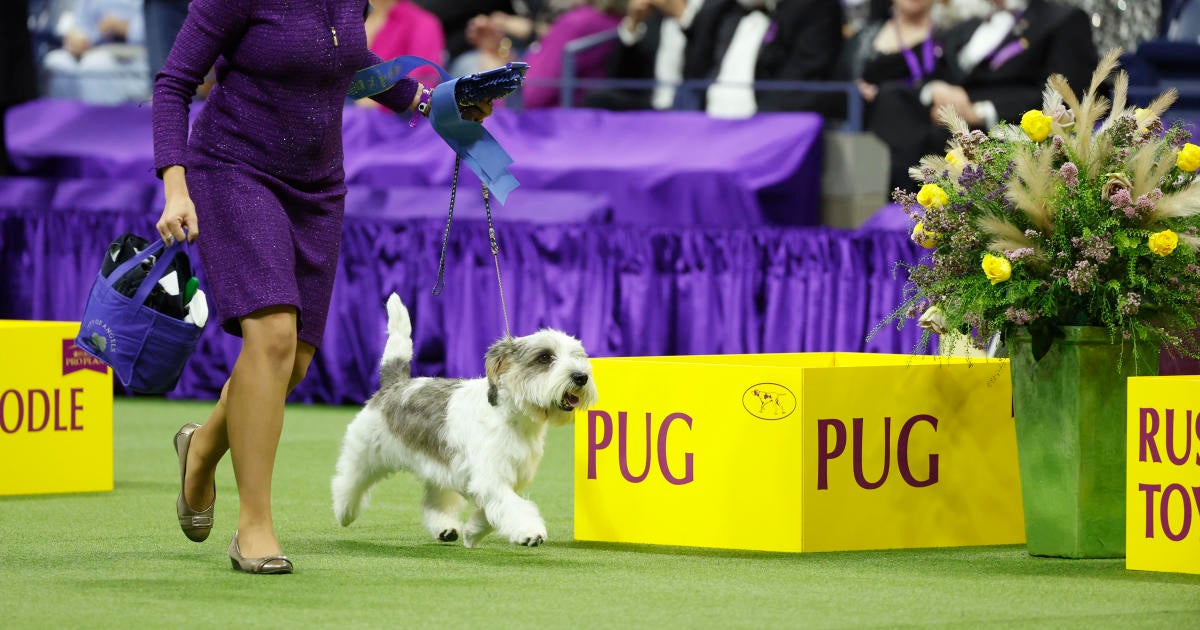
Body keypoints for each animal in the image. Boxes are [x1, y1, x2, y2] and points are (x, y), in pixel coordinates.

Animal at [331, 294, 597, 544]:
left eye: (577, 356)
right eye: (544, 358)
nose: (580, 376)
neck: (511, 416)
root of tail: (396, 383)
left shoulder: (499, 480)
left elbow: (492, 511)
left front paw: (473, 532)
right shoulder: (491, 479)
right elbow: (513, 507)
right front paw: (529, 532)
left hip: (439, 469)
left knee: (434, 503)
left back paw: (445, 529)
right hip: (365, 452)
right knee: (348, 480)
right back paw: (345, 511)